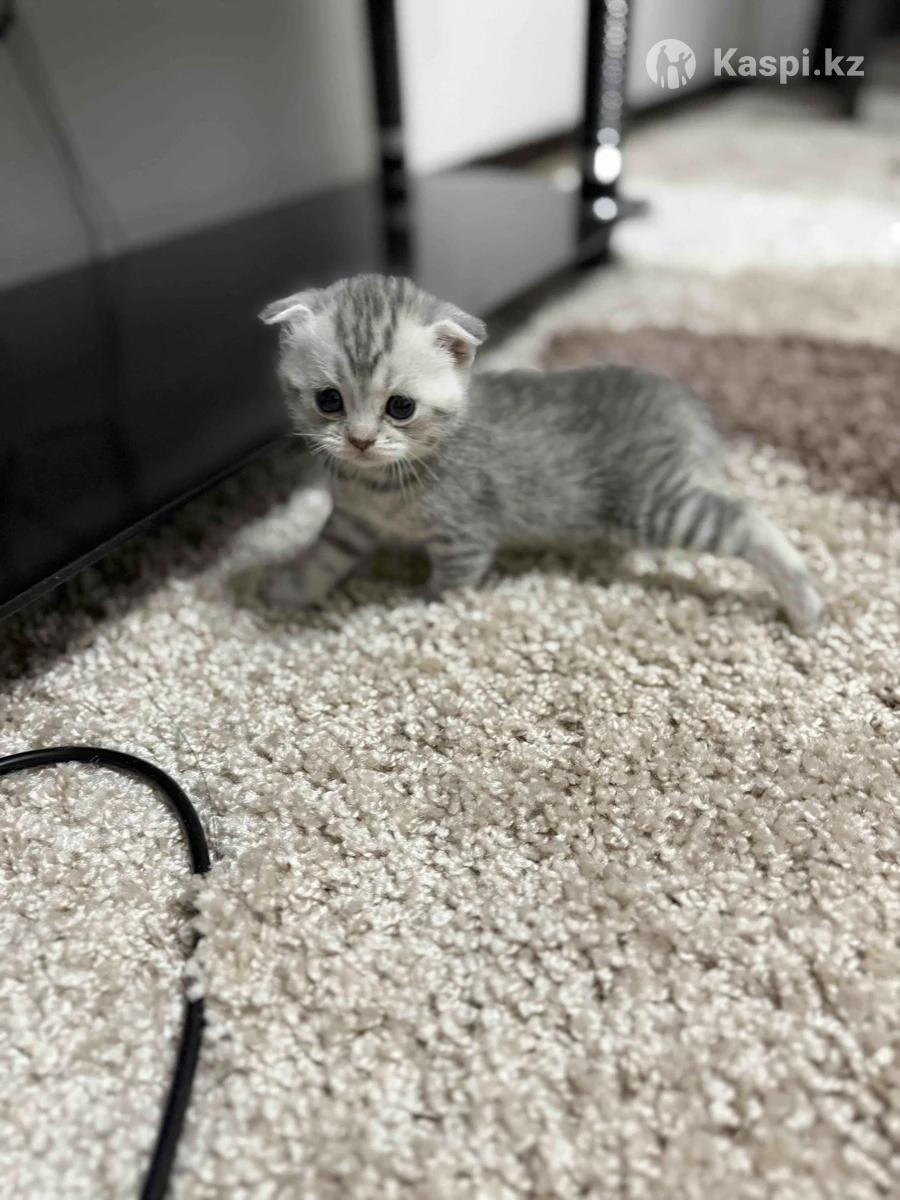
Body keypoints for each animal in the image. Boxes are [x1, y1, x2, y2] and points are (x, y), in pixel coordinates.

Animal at [258, 274, 824, 635]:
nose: (359, 439)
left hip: (649, 503)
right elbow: (321, 559)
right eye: (328, 400)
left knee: (747, 517)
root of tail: (684, 401)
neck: (377, 484)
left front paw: (413, 610)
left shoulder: (465, 537)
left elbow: (446, 587)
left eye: (400, 407)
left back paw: (804, 603)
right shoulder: (350, 522)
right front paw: (288, 590)